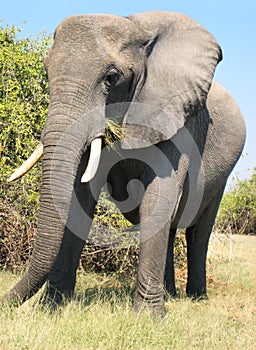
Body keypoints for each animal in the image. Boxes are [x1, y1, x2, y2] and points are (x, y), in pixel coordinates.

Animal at [2, 11, 246, 318]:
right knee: (169, 228)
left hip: (223, 174)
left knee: (198, 230)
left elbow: (158, 197)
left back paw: (196, 298)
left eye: (111, 77)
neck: (137, 28)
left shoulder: (176, 119)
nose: (6, 302)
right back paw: (170, 293)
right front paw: (51, 308)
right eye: (47, 72)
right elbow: (80, 197)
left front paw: (149, 319)